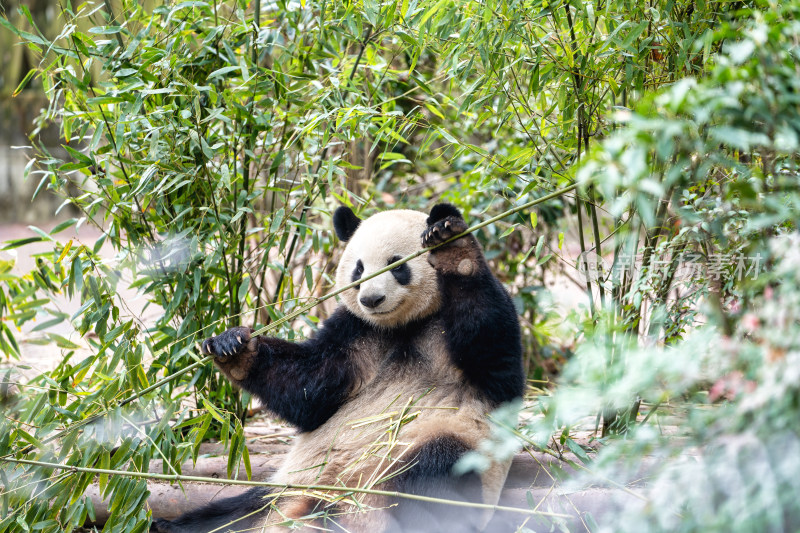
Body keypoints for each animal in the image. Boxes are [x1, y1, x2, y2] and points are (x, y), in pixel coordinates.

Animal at [152, 202, 524, 528]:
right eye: (358, 268)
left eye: (396, 265)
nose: (371, 299)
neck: (404, 325)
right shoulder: (357, 333)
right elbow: (310, 387)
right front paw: (233, 346)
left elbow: (490, 349)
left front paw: (452, 247)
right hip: (278, 493)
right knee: (221, 518)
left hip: (439, 449)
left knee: (433, 476)